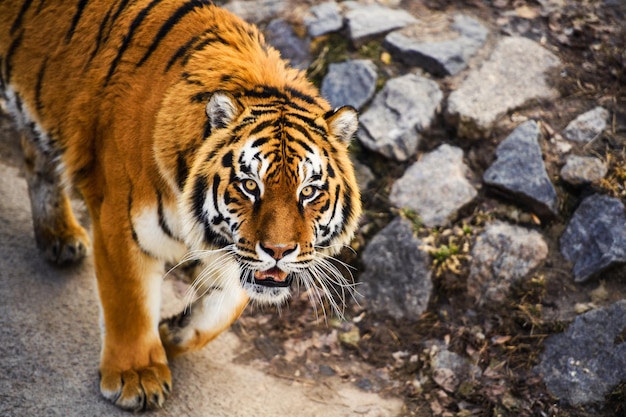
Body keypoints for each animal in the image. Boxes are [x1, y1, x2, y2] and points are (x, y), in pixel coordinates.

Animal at [0, 0, 360, 410]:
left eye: (308, 191)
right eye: (250, 186)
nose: (279, 251)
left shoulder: (235, 252)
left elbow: (223, 309)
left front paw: (171, 333)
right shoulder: (120, 222)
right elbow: (130, 302)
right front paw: (136, 377)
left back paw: (58, 236)